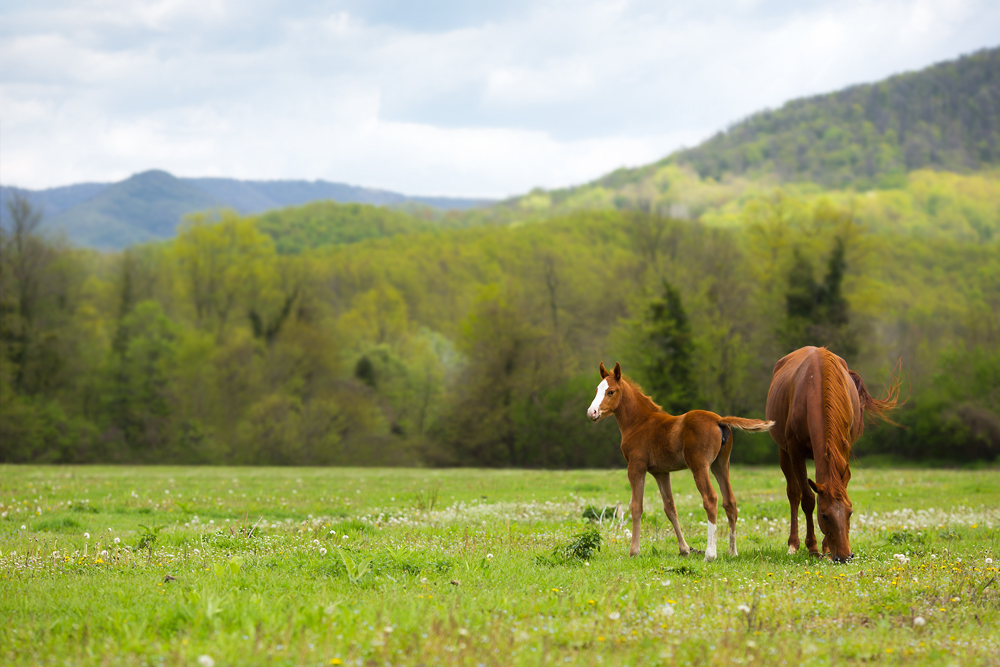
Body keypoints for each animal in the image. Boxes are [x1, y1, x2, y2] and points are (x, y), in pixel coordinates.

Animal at [584, 362, 772, 560]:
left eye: (611, 391)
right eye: (597, 389)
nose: (592, 412)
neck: (639, 422)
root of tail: (719, 419)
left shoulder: (636, 466)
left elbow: (636, 506)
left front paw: (634, 551)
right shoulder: (661, 472)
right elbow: (670, 508)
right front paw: (684, 549)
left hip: (699, 465)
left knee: (711, 499)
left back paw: (710, 554)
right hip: (720, 465)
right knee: (730, 502)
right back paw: (732, 552)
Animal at [764, 348, 900, 560]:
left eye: (850, 512)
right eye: (824, 515)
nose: (845, 556)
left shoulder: (842, 447)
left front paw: (826, 547)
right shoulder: (795, 450)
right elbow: (807, 499)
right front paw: (812, 547)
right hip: (783, 452)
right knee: (793, 494)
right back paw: (793, 544)